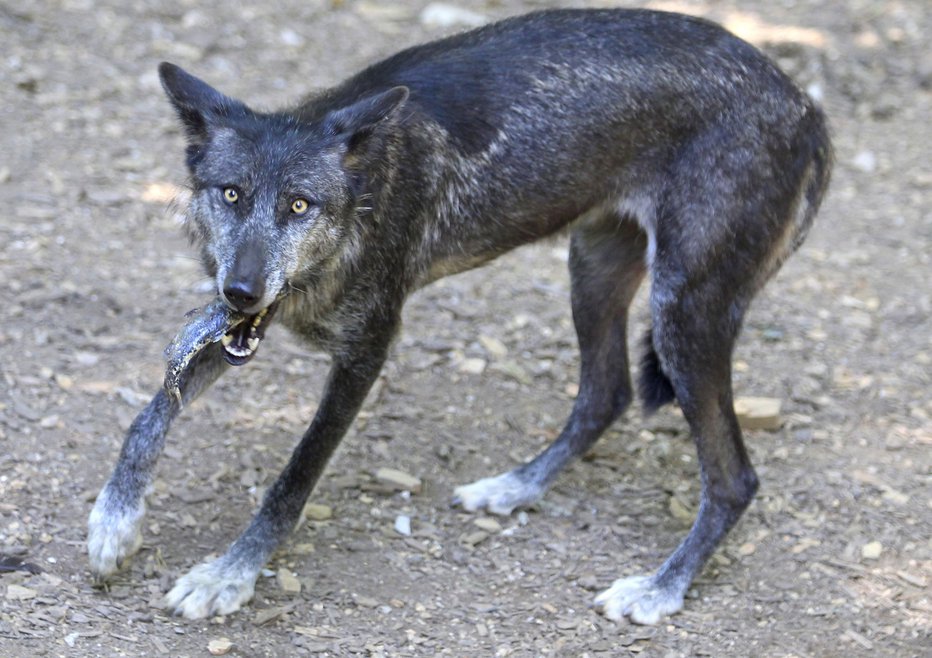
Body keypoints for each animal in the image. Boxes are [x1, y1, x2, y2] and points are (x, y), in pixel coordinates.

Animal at [85, 7, 832, 620]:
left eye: (299, 205)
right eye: (231, 194)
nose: (239, 290)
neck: (363, 195)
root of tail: (803, 103)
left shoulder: (366, 352)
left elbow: (293, 478)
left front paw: (228, 577)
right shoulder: (237, 330)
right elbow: (146, 417)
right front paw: (114, 521)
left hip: (682, 314)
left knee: (733, 479)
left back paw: (658, 589)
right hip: (592, 272)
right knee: (607, 394)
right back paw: (514, 488)